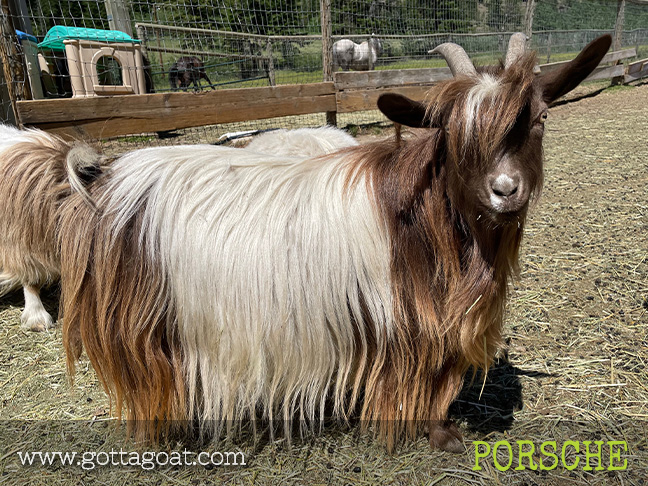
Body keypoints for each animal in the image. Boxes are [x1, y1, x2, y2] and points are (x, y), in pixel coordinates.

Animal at [59, 34, 611, 451]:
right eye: (453, 132)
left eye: (540, 118)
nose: (504, 190)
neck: (420, 217)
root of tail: (104, 182)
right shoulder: (412, 321)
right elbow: (428, 378)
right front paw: (439, 435)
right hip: (141, 323)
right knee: (148, 381)